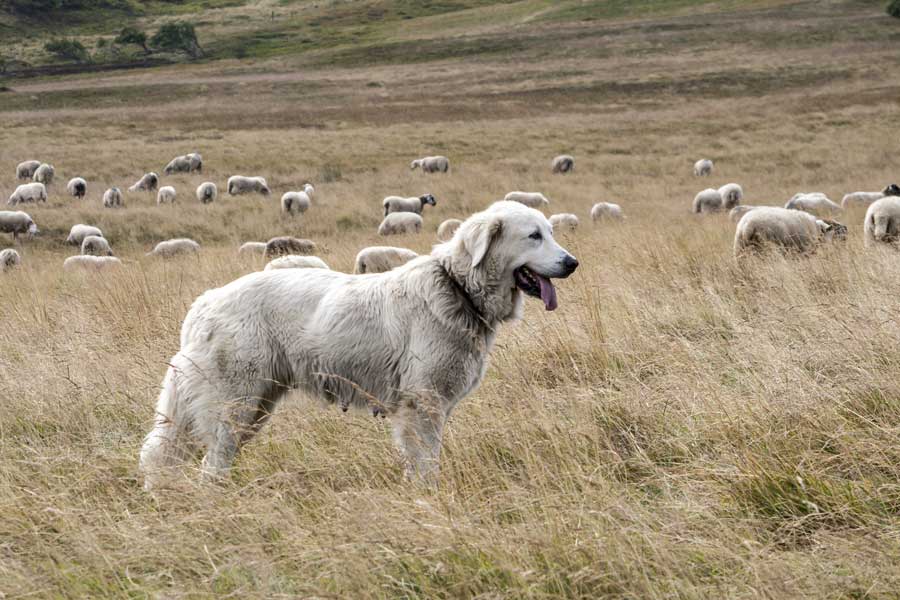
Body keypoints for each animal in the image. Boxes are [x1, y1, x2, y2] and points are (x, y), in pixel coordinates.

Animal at [139, 200, 576, 488]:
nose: (572, 263)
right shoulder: (422, 406)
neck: (458, 287)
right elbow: (426, 466)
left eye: (551, 233)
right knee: (211, 465)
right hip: (235, 405)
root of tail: (205, 302)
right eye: (534, 236)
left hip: (253, 406)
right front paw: (429, 502)